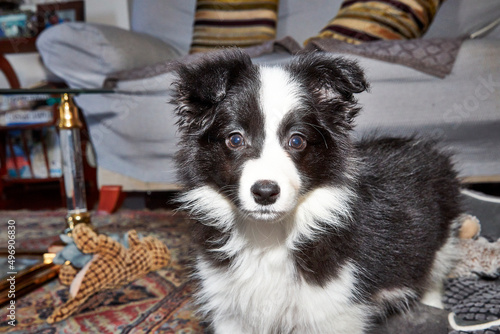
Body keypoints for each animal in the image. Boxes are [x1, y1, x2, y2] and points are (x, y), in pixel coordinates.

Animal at [171, 49, 460, 334]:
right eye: (235, 139)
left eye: (297, 140)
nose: (265, 192)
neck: (268, 237)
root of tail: (427, 148)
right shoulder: (229, 307)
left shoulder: (333, 310)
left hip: (441, 244)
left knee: (432, 279)